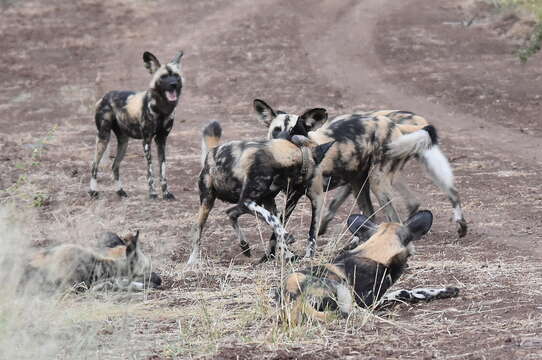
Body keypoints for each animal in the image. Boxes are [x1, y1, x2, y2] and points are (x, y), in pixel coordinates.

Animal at [88, 50, 184, 200]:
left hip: (123, 143)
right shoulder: (147, 141)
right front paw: (153, 193)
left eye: (176, 76)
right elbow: (150, 171)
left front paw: (166, 193)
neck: (162, 108)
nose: (173, 84)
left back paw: (120, 191)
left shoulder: (161, 140)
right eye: (163, 77)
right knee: (94, 165)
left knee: (115, 165)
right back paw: (93, 191)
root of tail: (104, 97)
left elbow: (163, 170)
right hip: (103, 138)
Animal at [186, 121, 336, 264]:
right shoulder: (248, 201)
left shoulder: (266, 201)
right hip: (208, 202)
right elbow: (273, 220)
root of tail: (211, 153)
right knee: (198, 228)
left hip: (247, 203)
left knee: (231, 212)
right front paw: (287, 243)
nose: (320, 186)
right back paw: (193, 261)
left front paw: (288, 252)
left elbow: (275, 223)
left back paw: (245, 246)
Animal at [254, 99, 468, 239]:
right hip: (362, 184)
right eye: (276, 131)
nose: (281, 147)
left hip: (378, 182)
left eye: (295, 133)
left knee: (395, 215)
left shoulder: (311, 196)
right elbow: (276, 224)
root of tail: (395, 125)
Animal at [278, 211, 462, 324]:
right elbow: (403, 292)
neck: (376, 252)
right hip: (342, 292)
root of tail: (294, 296)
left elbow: (412, 290)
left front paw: (444, 291)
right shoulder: (368, 301)